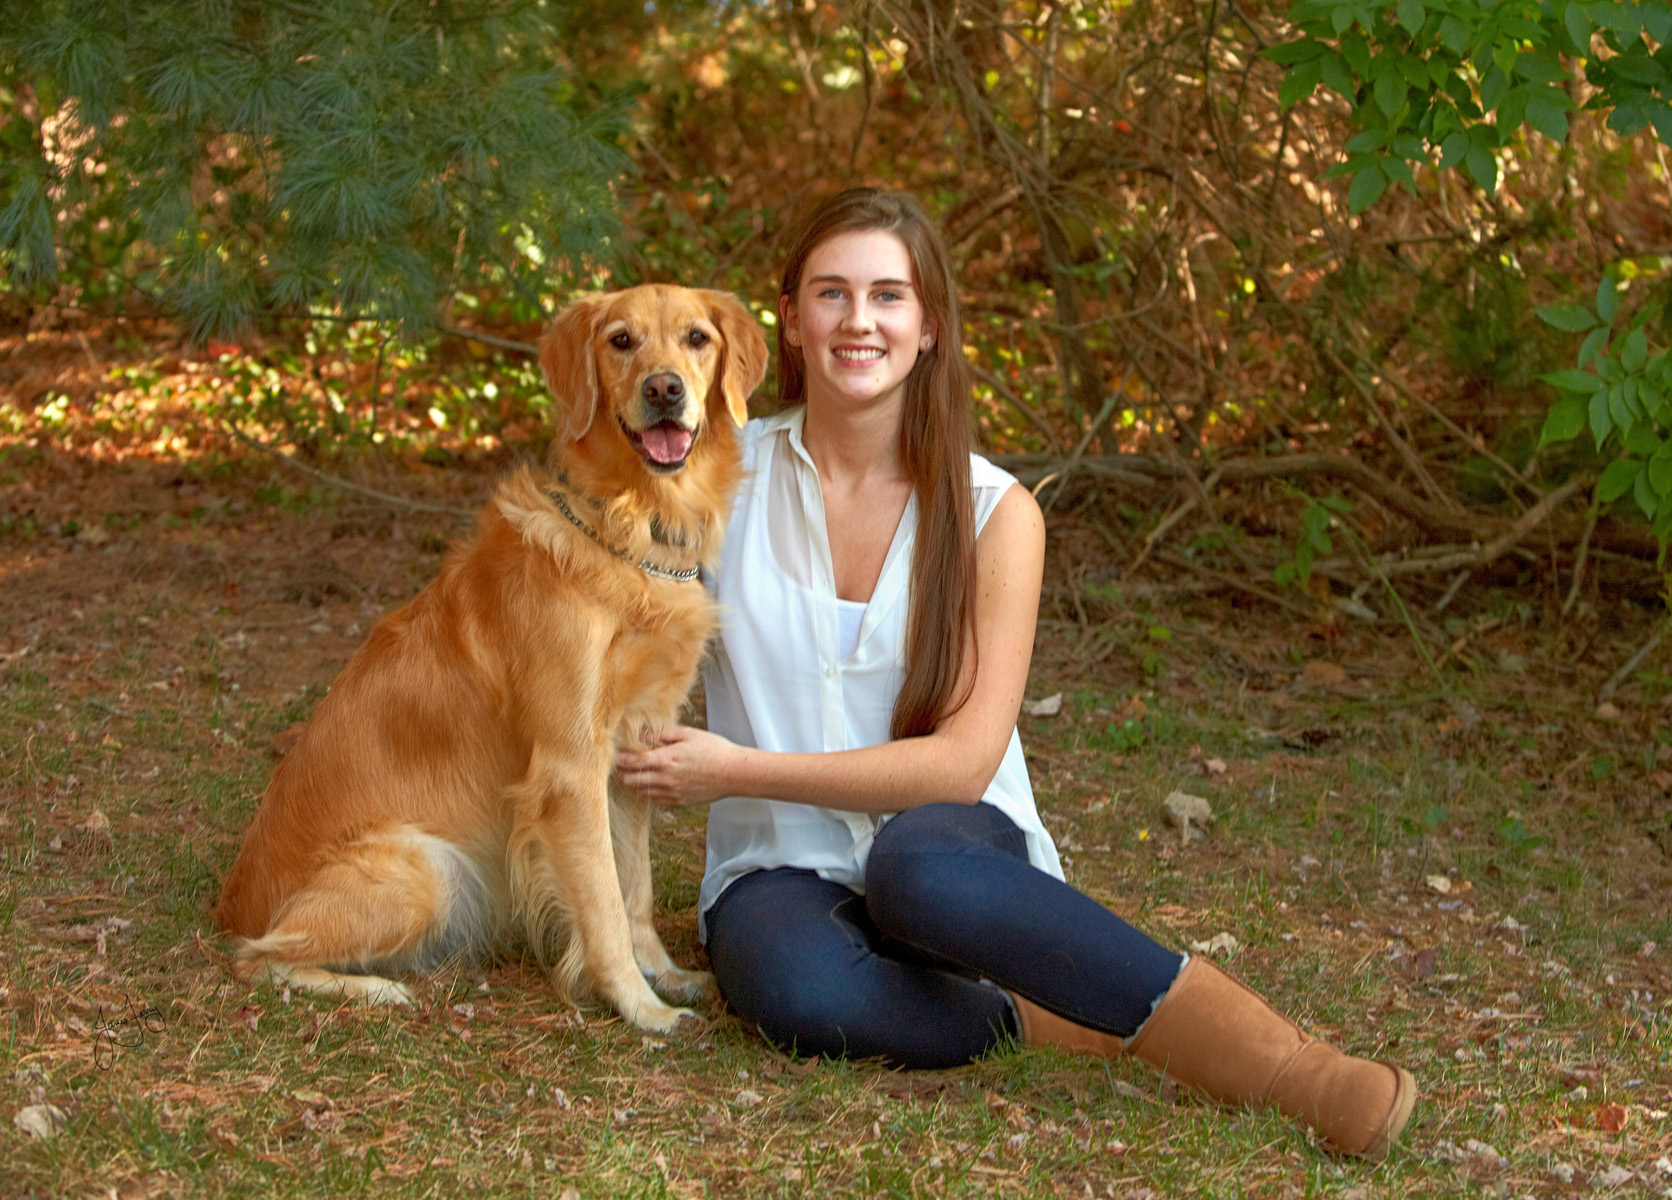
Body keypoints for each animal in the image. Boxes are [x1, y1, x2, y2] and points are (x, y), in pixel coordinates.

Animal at [215, 284, 769, 1036]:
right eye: (621, 341)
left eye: (696, 338)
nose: (664, 390)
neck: (626, 529)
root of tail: (229, 905)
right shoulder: (569, 766)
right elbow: (602, 901)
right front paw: (638, 1005)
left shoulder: (633, 750)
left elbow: (636, 887)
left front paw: (665, 974)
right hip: (426, 867)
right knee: (259, 957)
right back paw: (375, 989)